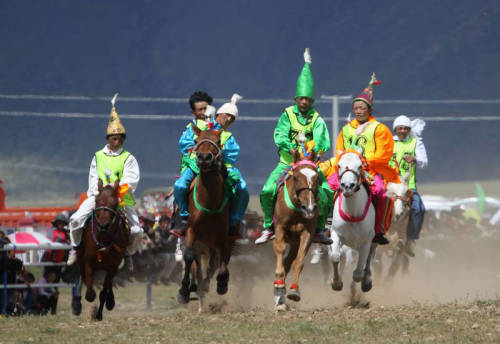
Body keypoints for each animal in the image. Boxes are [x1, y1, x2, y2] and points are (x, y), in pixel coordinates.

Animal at [71, 179, 129, 322]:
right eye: (97, 201)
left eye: (115, 203)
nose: (103, 225)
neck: (103, 239)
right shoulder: (88, 262)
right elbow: (89, 291)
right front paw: (86, 298)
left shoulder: (113, 266)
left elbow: (103, 291)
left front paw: (99, 314)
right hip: (80, 258)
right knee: (82, 277)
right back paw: (76, 303)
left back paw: (110, 300)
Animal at [178, 126, 234, 312]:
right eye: (196, 141)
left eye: (218, 141)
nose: (203, 158)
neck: (209, 201)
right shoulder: (191, 230)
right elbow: (189, 257)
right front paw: (184, 292)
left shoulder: (223, 236)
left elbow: (222, 259)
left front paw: (222, 283)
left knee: (215, 262)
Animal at [274, 150, 320, 310]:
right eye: (296, 177)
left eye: (316, 177)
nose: (310, 208)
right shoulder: (280, 227)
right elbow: (280, 249)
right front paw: (279, 284)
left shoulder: (307, 233)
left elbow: (298, 262)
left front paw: (294, 290)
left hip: (295, 242)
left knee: (289, 262)